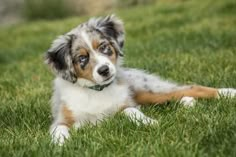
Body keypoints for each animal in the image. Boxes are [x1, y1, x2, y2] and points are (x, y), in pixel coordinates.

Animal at [44, 14, 236, 145]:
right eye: (82, 58)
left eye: (104, 47)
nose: (104, 70)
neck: (97, 90)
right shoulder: (61, 118)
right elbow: (59, 128)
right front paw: (61, 144)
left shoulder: (126, 103)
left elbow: (131, 110)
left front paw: (149, 122)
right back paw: (187, 103)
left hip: (149, 89)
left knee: (190, 88)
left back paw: (228, 93)